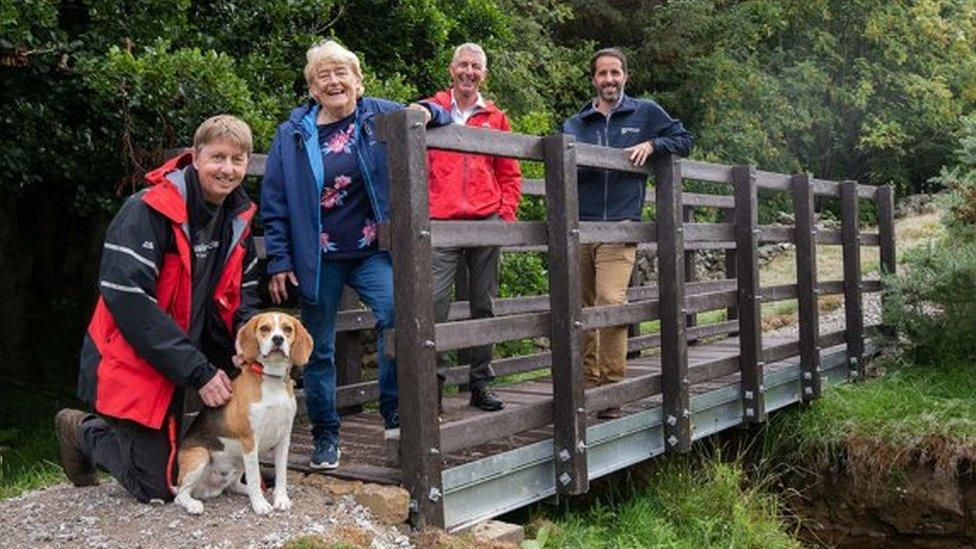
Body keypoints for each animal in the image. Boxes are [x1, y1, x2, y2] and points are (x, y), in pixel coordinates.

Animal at [173, 312, 312, 512]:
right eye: (265, 328)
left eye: (287, 329)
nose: (278, 339)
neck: (272, 379)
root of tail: (209, 487)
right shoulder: (250, 440)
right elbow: (254, 477)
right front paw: (260, 505)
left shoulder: (284, 438)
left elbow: (281, 474)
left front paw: (281, 499)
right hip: (200, 456)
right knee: (180, 494)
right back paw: (193, 504)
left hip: (238, 458)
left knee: (233, 485)